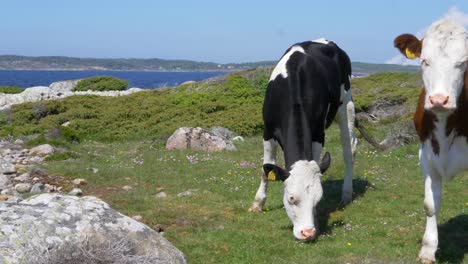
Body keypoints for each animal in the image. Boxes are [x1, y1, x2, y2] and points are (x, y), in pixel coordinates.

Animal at [250, 38, 356, 242]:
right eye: (291, 198)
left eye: (318, 199)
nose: (308, 233)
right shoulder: (267, 130)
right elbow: (265, 168)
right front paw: (257, 204)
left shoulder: (318, 133)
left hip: (347, 104)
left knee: (349, 151)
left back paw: (347, 192)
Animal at [394, 19, 468, 264]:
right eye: (425, 61)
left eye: (462, 63)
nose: (438, 100)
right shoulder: (426, 155)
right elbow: (430, 205)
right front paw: (428, 248)